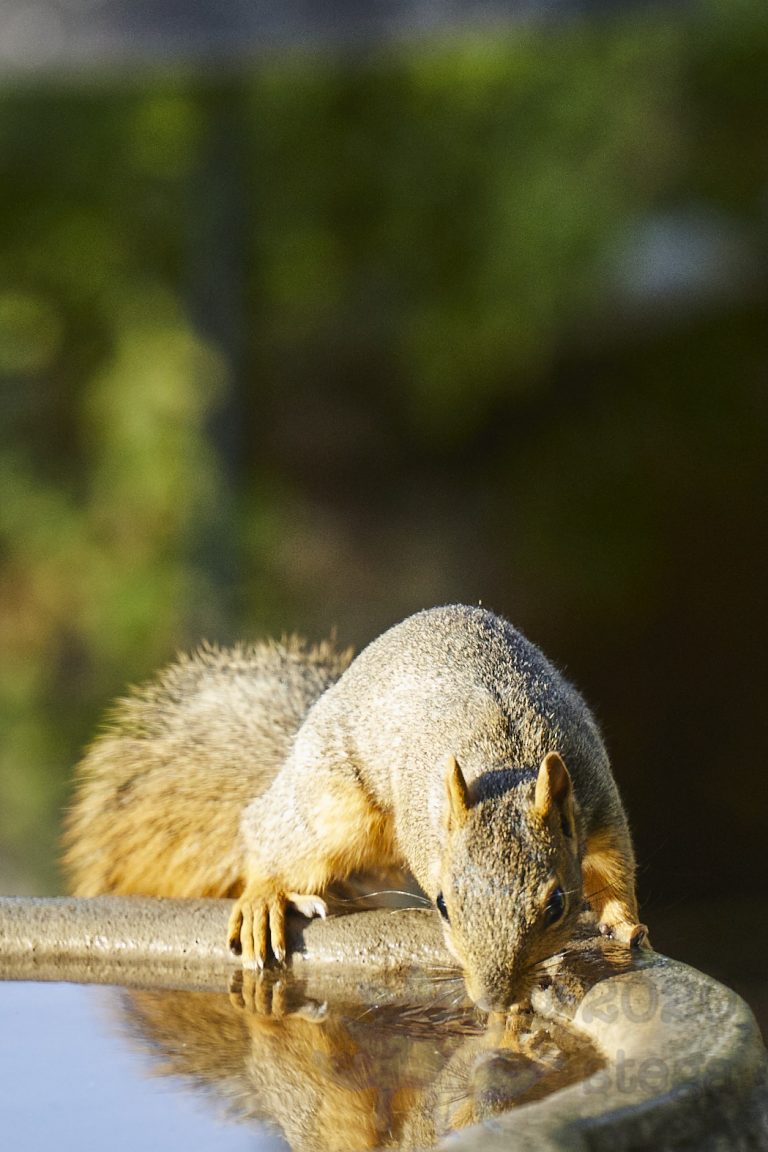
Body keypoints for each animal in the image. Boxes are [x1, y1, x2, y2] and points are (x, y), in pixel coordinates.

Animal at [63, 605, 647, 1012]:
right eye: (442, 904)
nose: (490, 1001)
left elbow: (616, 868)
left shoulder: (597, 798)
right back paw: (264, 898)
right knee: (267, 837)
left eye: (556, 905)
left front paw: (625, 927)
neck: (507, 759)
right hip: (333, 809)